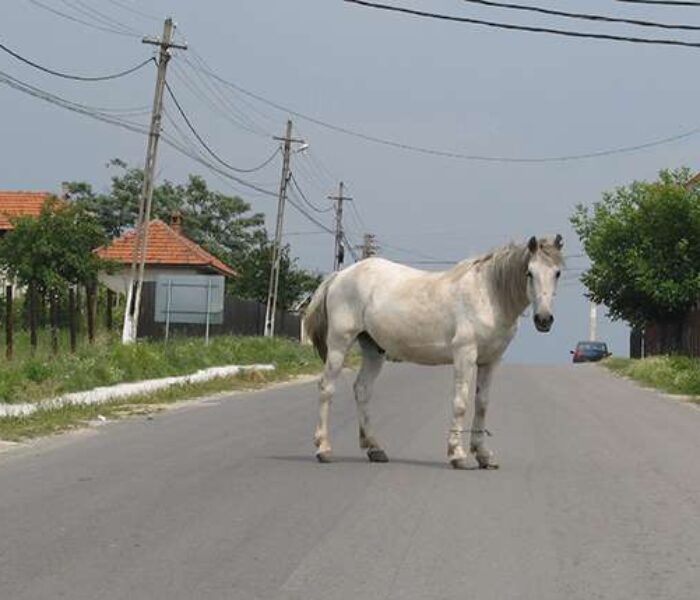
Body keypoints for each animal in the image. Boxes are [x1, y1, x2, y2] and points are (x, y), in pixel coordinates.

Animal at [304, 234, 568, 468]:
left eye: (557, 272)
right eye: (529, 272)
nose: (544, 319)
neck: (488, 295)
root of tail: (340, 276)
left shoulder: (490, 360)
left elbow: (482, 403)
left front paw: (484, 456)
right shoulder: (465, 355)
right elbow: (461, 402)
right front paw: (457, 454)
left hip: (373, 349)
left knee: (362, 390)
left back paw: (375, 449)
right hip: (339, 343)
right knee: (327, 388)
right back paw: (324, 449)